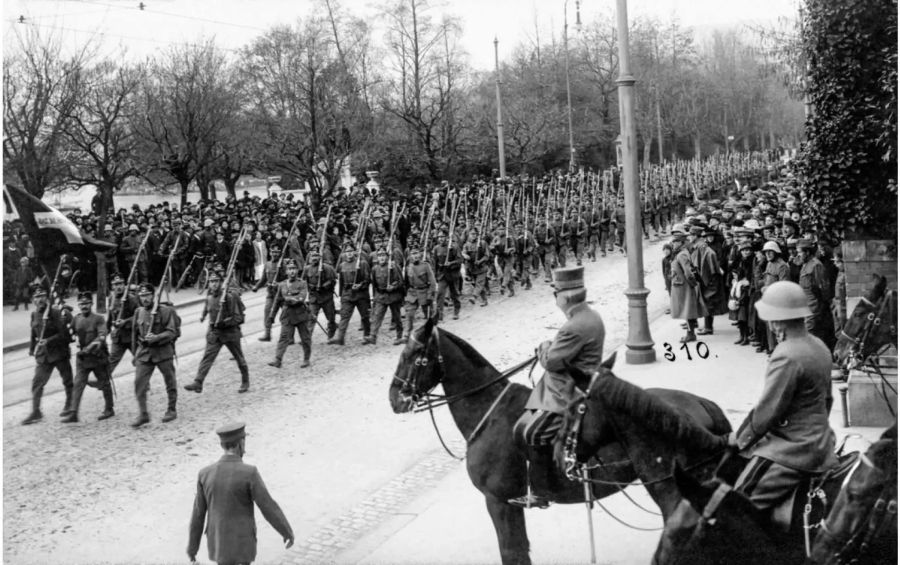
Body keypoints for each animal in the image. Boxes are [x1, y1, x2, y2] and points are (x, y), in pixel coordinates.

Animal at [390, 318, 736, 564]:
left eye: (413, 356)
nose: (395, 398)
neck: (489, 412)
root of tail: (702, 404)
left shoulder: (497, 501)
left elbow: (511, 552)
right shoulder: (508, 505)